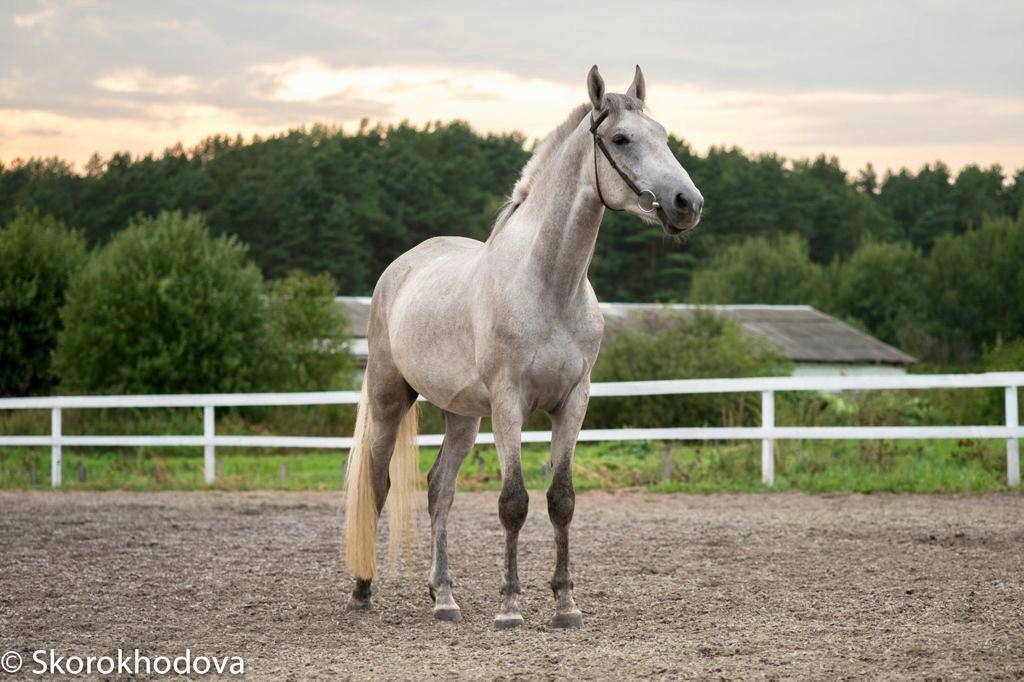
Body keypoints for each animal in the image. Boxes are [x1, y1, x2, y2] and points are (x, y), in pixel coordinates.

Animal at [344, 64, 703, 629]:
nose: (688, 204)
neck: (548, 285)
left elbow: (561, 499)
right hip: (388, 397)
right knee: (377, 485)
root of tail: (400, 268)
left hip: (462, 414)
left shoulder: (573, 402)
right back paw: (362, 590)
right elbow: (513, 501)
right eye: (621, 139)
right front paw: (510, 606)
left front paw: (565, 604)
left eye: (664, 135)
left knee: (439, 489)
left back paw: (444, 596)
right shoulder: (509, 403)